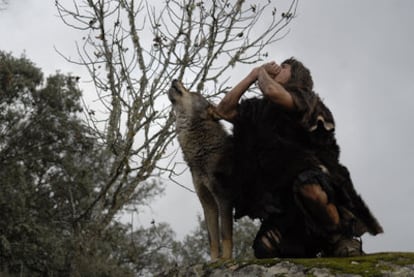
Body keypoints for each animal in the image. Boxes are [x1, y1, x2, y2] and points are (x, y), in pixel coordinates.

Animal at [167, 79, 233, 258]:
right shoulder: (207, 202)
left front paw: (226, 260)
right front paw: (214, 261)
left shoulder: (224, 198)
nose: (175, 79)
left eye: (193, 93)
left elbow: (225, 235)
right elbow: (212, 239)